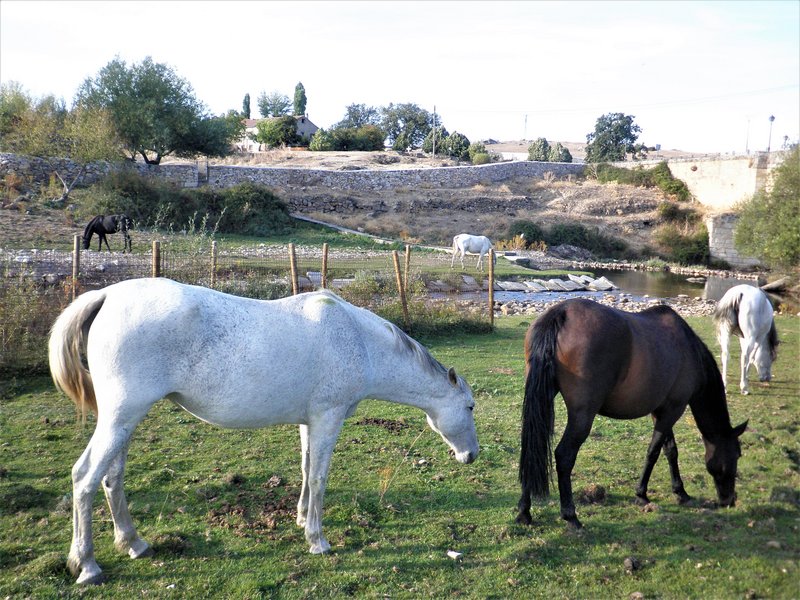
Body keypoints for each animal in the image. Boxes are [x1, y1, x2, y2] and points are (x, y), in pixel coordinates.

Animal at [48, 278, 482, 584]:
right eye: (470, 407)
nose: (472, 456)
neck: (357, 339)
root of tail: (106, 296)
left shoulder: (309, 421)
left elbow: (306, 470)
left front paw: (302, 518)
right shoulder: (328, 417)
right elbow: (320, 476)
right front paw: (317, 540)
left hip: (123, 421)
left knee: (113, 478)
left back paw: (134, 543)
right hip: (121, 417)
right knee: (85, 478)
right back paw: (86, 564)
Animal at [516, 298, 748, 528]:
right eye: (737, 454)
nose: (729, 500)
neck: (689, 350)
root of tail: (561, 312)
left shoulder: (660, 411)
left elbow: (670, 450)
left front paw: (680, 492)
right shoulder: (674, 409)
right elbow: (654, 451)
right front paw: (642, 494)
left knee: (532, 449)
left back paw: (524, 512)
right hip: (582, 415)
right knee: (564, 456)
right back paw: (570, 515)